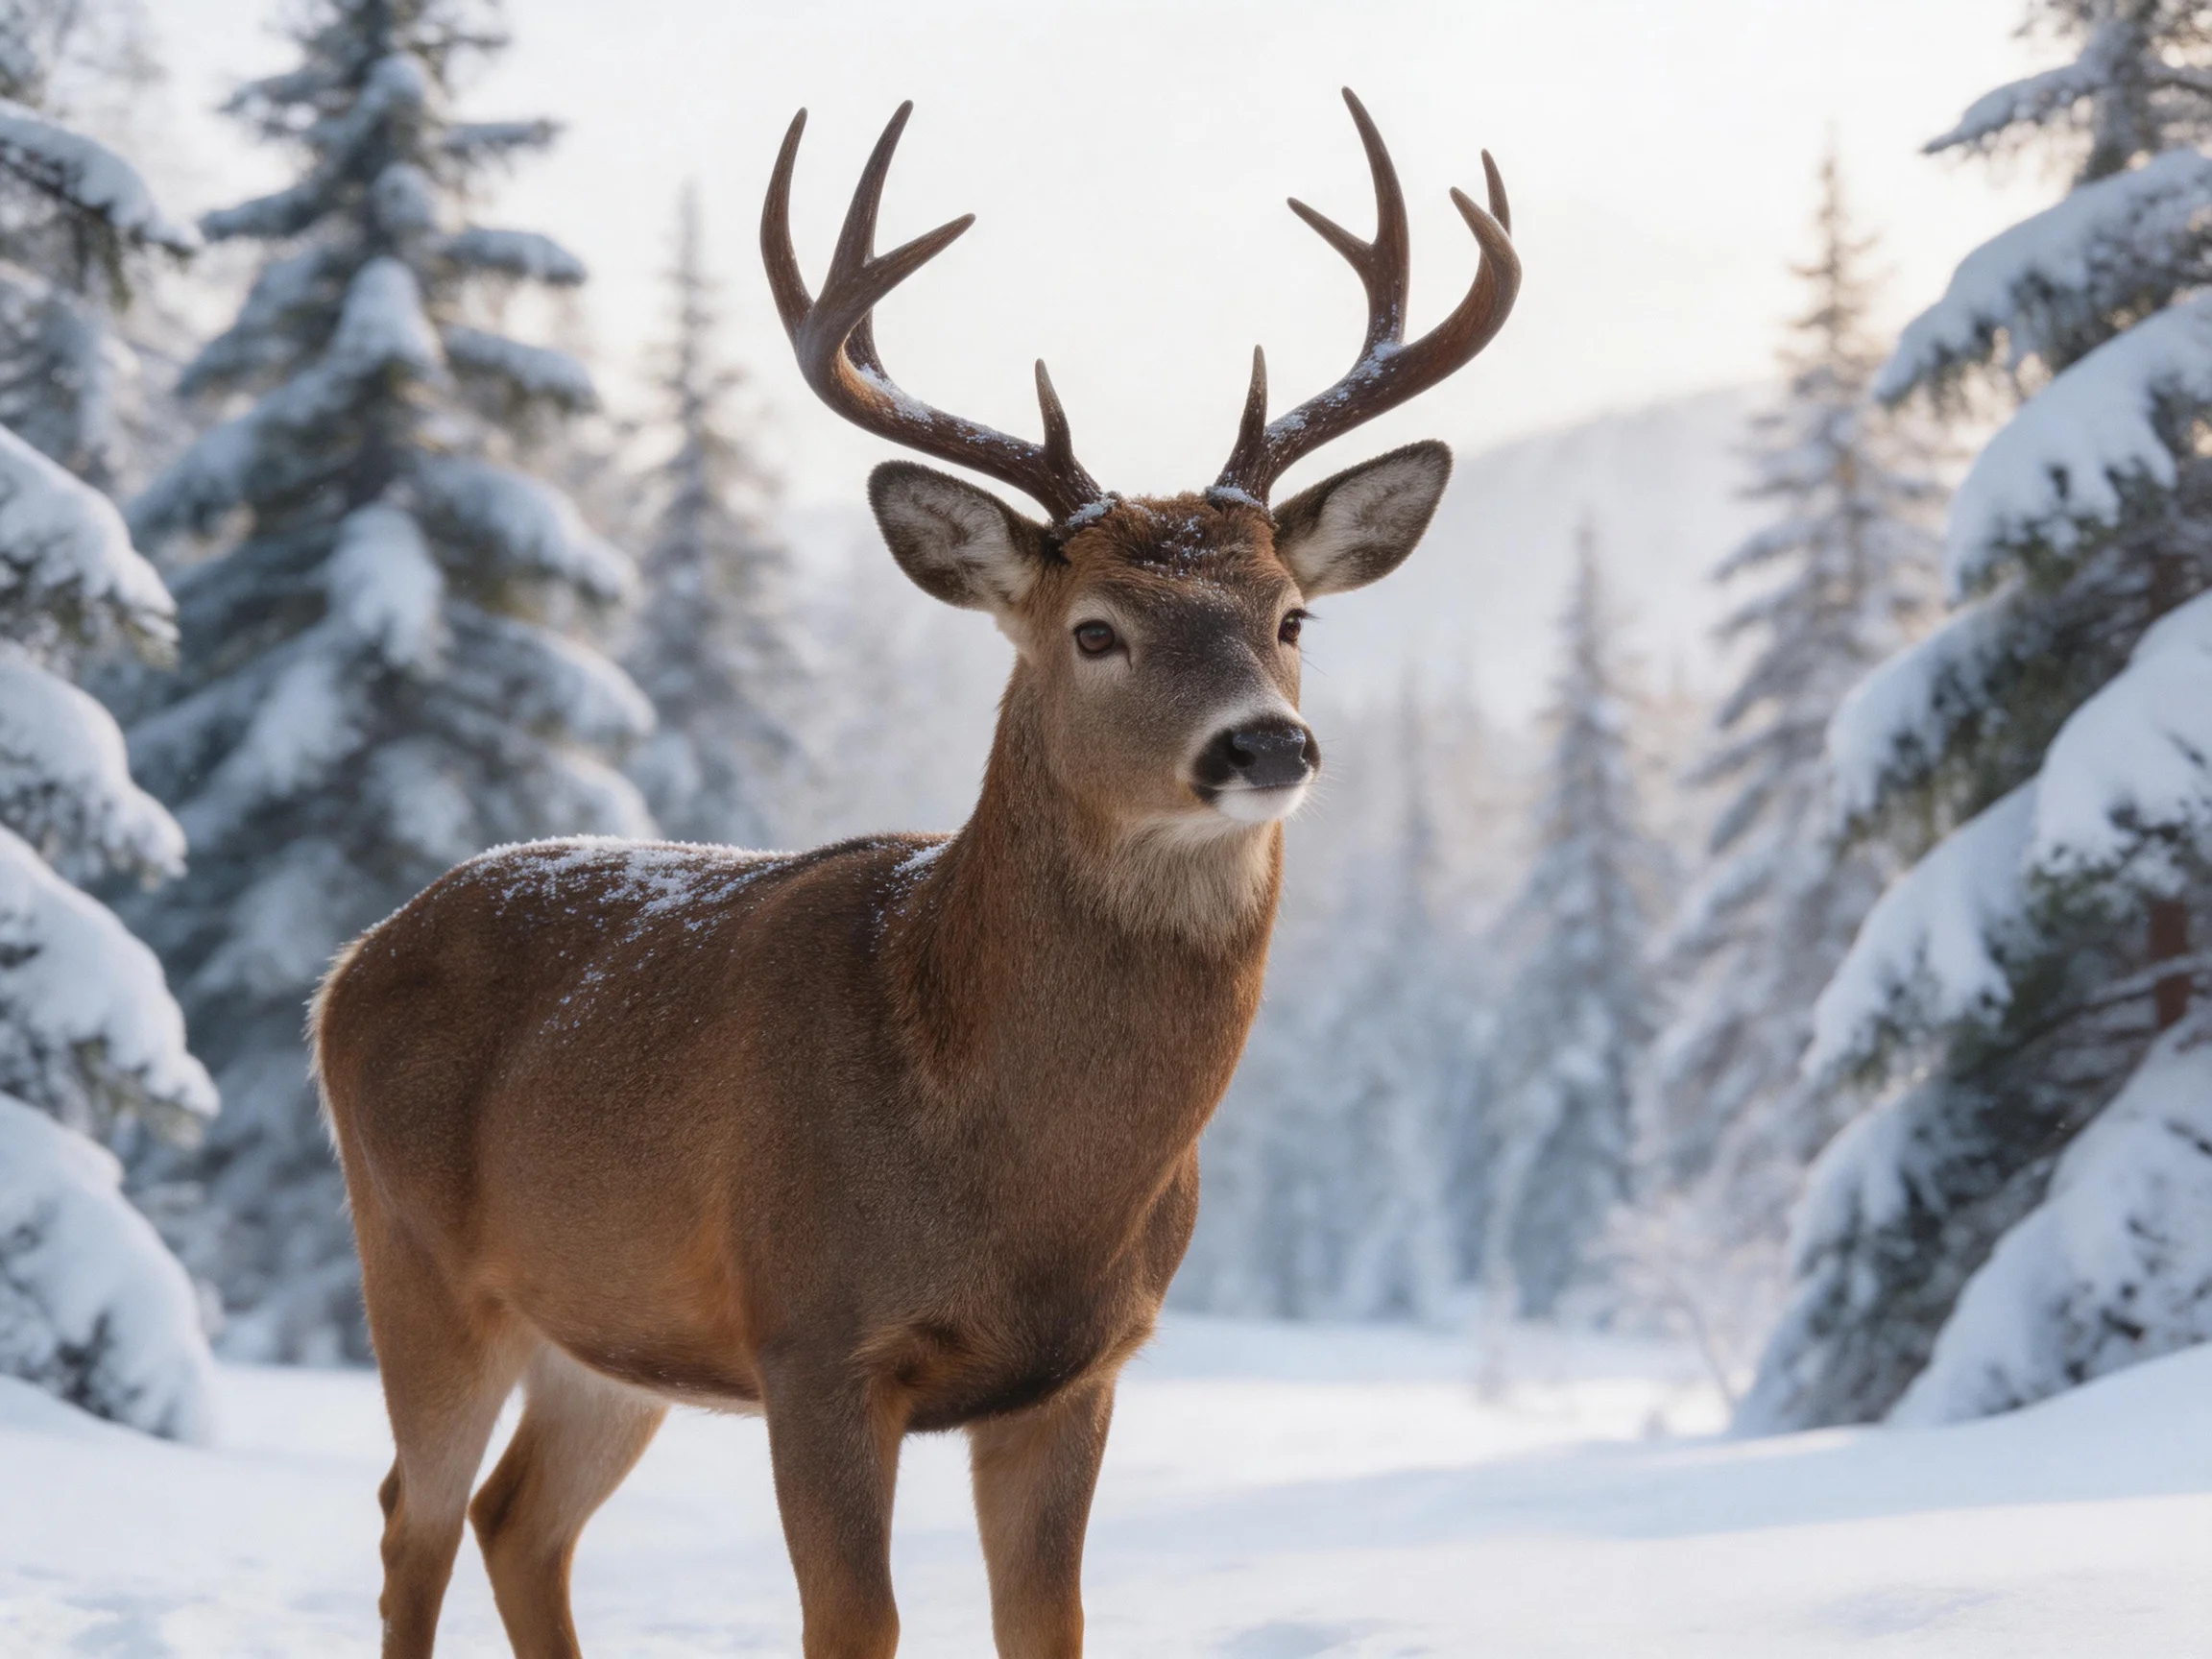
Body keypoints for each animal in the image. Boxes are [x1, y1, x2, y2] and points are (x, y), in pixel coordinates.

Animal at [315, 87, 1518, 1659]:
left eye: (1291, 614)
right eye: (1094, 629)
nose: (1268, 741)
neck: (1017, 1169)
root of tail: (347, 965)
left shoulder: (1079, 1371)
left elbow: (1048, 1623)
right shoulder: (816, 1337)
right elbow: (856, 1623)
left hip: (610, 1333)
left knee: (522, 1521)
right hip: (417, 1260)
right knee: (415, 1517)